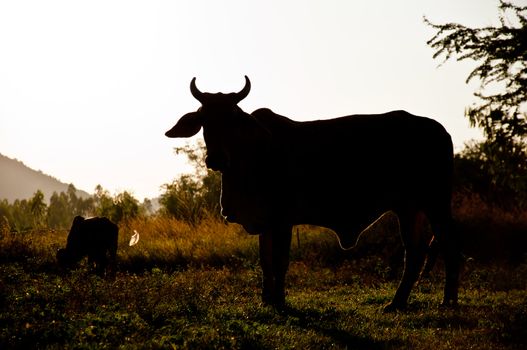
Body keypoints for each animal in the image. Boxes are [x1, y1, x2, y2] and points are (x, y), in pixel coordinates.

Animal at [166, 76, 462, 312]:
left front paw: (280, 300)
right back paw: (397, 302)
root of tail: (440, 130)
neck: (251, 158)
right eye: (204, 120)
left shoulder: (283, 220)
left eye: (232, 121)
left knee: (448, 244)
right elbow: (264, 261)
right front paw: (266, 298)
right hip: (409, 208)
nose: (215, 159)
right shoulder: (264, 222)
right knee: (415, 252)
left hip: (435, 202)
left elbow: (280, 261)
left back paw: (447, 301)